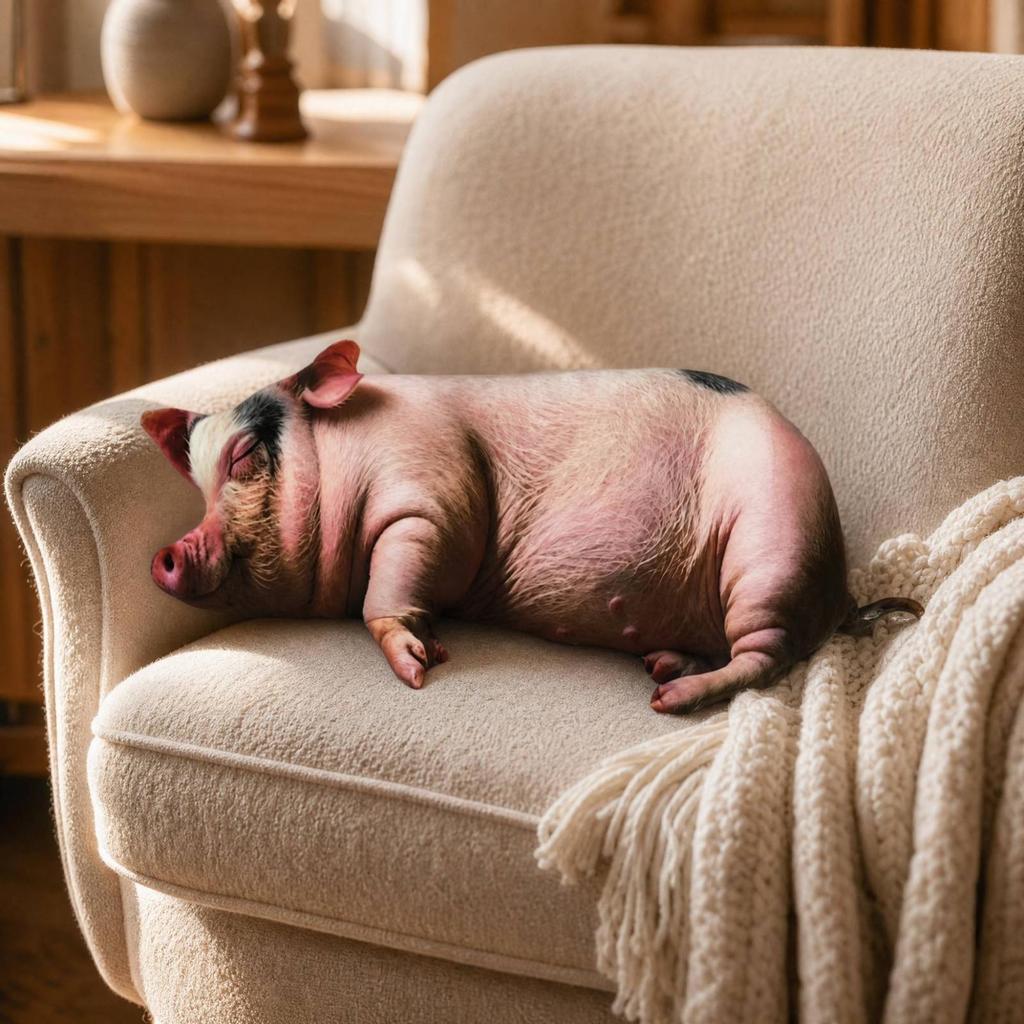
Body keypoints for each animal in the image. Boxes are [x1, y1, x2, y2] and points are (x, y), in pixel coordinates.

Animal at [141, 340, 920, 714]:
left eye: (245, 455)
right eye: (196, 479)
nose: (165, 554)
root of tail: (841, 594)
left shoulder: (432, 490)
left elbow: (394, 581)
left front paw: (418, 668)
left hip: (773, 537)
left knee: (767, 654)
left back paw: (667, 699)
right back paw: (663, 665)